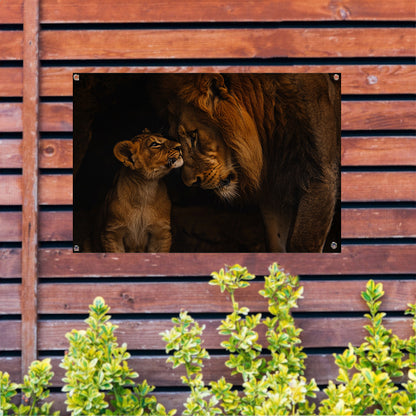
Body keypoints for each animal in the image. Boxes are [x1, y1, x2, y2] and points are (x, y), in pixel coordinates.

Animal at [151, 73, 340, 252]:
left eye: (193, 135)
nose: (189, 183)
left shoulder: (320, 177)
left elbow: (302, 244)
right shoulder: (274, 190)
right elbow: (276, 243)